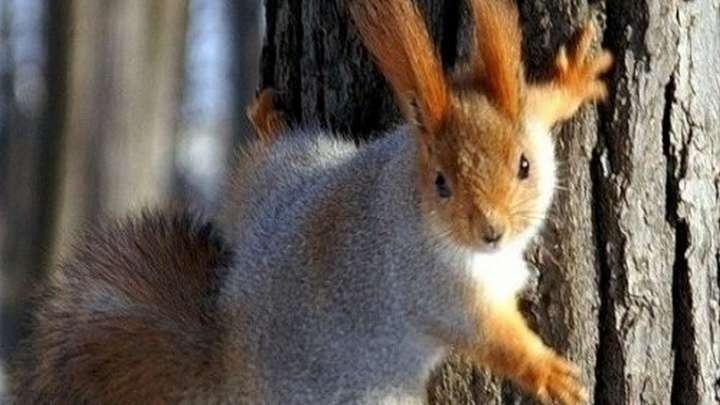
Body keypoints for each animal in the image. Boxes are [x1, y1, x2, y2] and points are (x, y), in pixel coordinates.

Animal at [9, 0, 612, 403]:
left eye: (524, 166)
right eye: (440, 182)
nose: (491, 231)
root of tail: (229, 357)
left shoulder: (528, 122)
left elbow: (541, 102)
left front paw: (574, 78)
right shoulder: (435, 291)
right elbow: (492, 340)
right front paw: (548, 374)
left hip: (296, 170)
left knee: (257, 169)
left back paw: (268, 124)